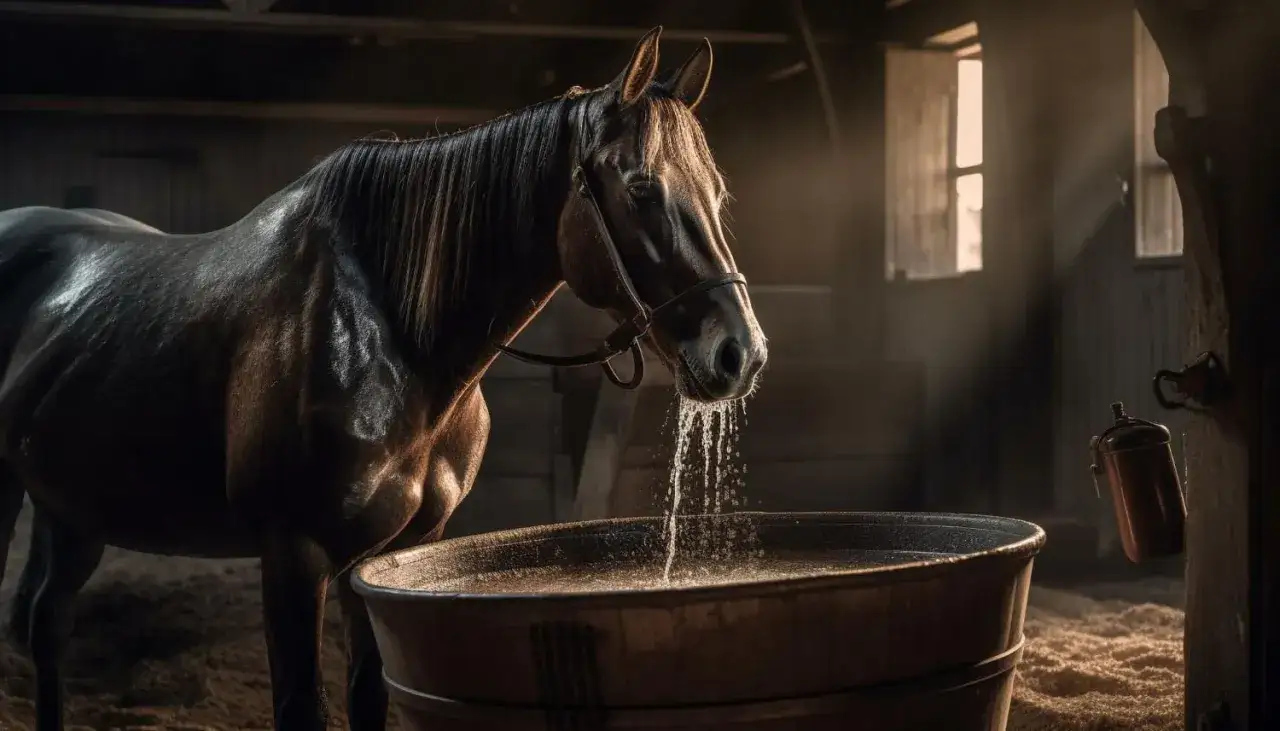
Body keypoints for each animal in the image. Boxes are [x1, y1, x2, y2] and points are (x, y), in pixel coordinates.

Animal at [0, 26, 766, 731]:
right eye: (642, 187)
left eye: (717, 191)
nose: (741, 354)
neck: (389, 333)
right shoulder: (293, 554)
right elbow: (302, 707)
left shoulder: (387, 556)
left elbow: (368, 697)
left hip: (72, 508)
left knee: (47, 623)